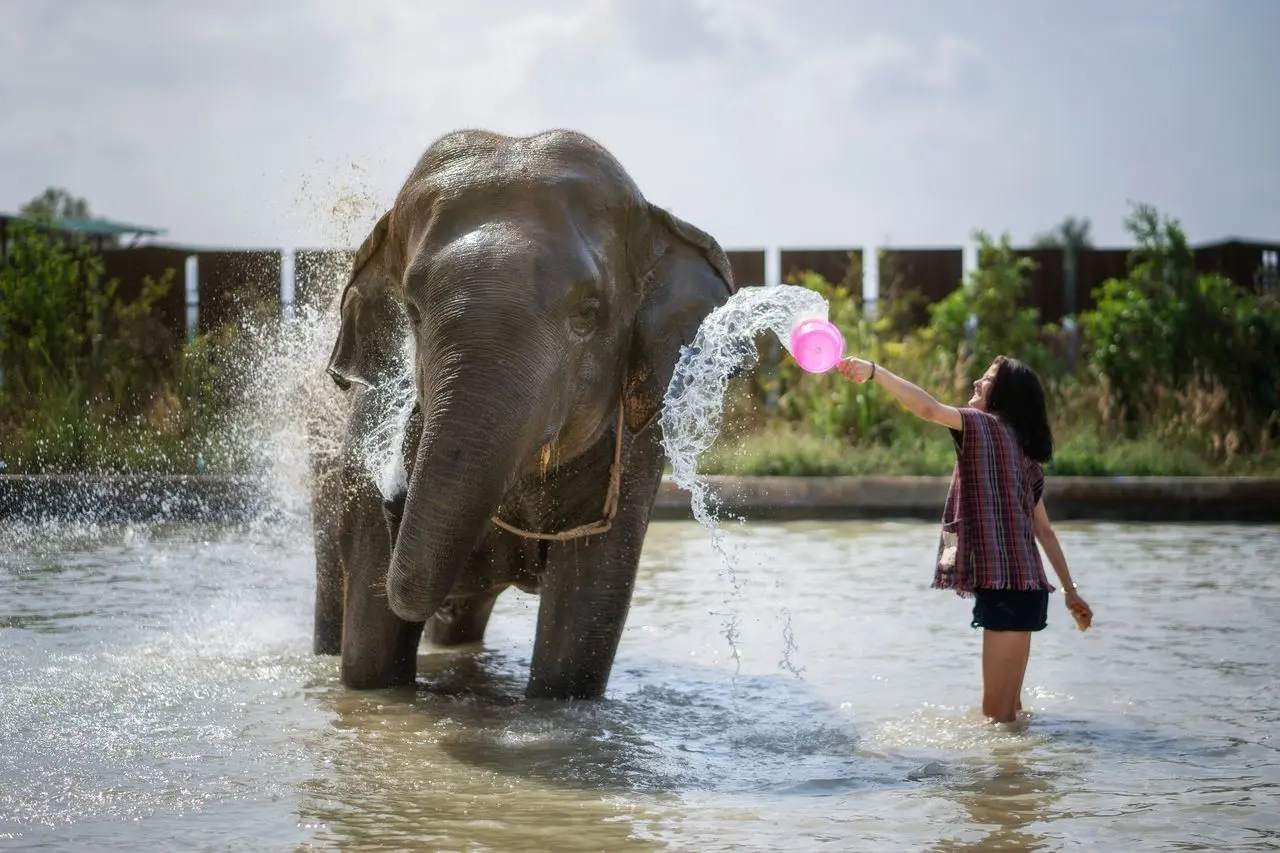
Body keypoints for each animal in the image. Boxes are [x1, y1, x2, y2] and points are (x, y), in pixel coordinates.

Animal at [308, 129, 738, 700]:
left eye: (588, 313)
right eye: (413, 314)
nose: (393, 493)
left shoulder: (636, 453)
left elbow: (580, 634)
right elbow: (371, 660)